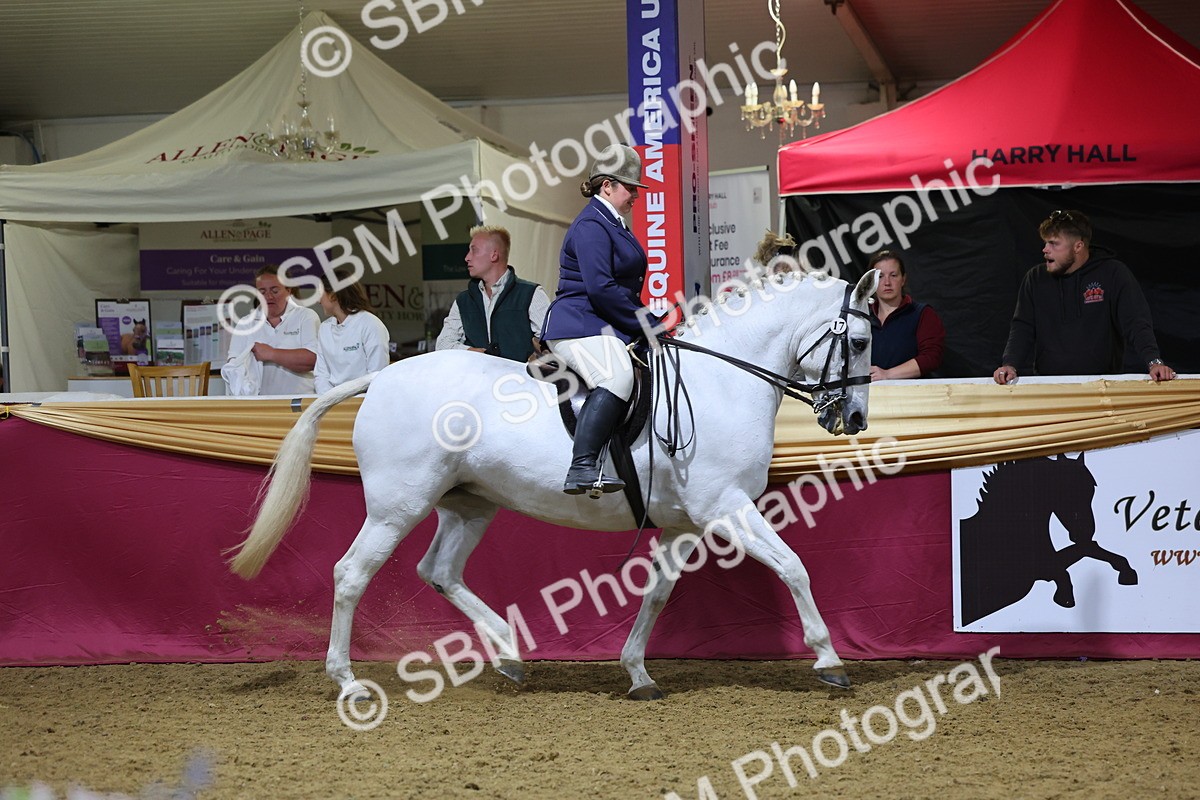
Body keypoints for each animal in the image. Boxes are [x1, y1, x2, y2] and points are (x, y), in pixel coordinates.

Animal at [229, 267, 880, 702]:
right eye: (861, 340)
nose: (853, 420)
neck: (723, 379)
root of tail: (383, 376)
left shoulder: (685, 524)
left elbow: (657, 594)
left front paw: (638, 672)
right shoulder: (728, 507)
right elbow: (794, 566)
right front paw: (830, 660)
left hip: (469, 505)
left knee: (440, 571)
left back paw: (511, 655)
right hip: (396, 507)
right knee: (351, 574)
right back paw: (348, 682)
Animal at [958, 452, 1138, 626]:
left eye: (1091, 489)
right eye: (1064, 487)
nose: (1085, 533)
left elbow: (1088, 549)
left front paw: (1127, 572)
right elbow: (1063, 572)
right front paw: (1065, 597)